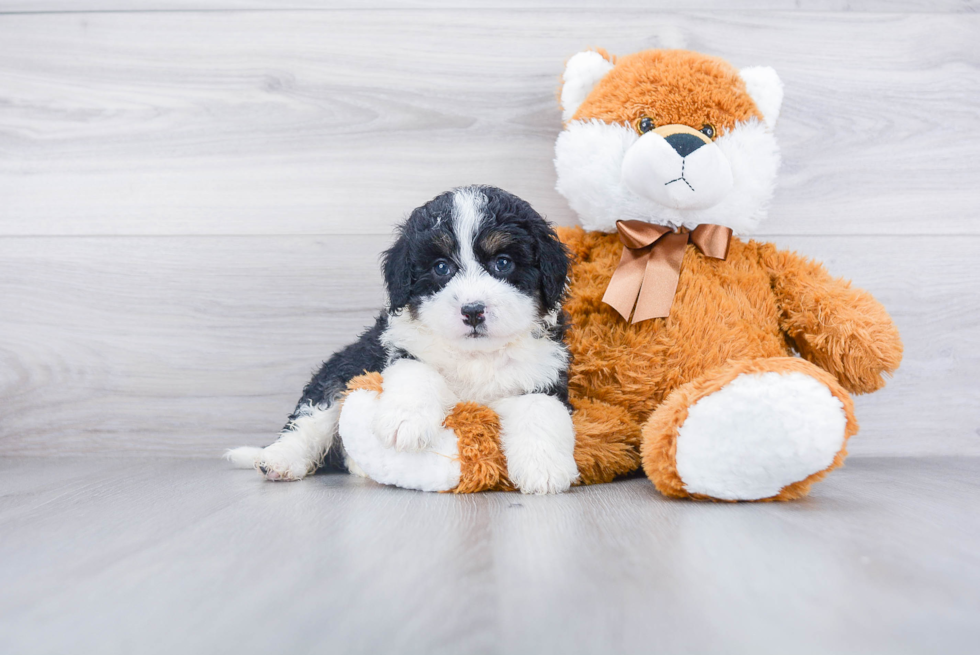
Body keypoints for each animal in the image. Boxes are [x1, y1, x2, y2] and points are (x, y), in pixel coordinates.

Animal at [228, 184, 580, 492]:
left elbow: (540, 410)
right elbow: (418, 372)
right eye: (441, 267)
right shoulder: (402, 348)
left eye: (503, 263)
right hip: (342, 372)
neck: (474, 356)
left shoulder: (543, 374)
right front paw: (406, 423)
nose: (472, 311)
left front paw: (545, 469)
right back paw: (277, 459)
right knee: (310, 421)